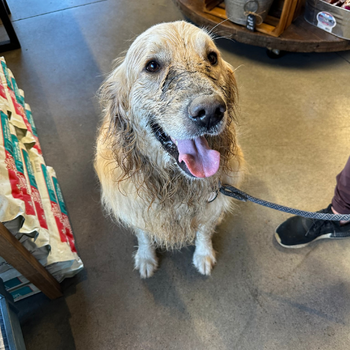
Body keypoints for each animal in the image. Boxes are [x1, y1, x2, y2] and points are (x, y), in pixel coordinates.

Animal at [94, 21, 245, 278]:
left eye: (212, 57)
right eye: (152, 65)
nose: (211, 111)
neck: (175, 183)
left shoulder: (212, 206)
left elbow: (204, 231)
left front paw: (203, 255)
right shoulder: (136, 210)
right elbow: (144, 235)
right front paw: (146, 258)